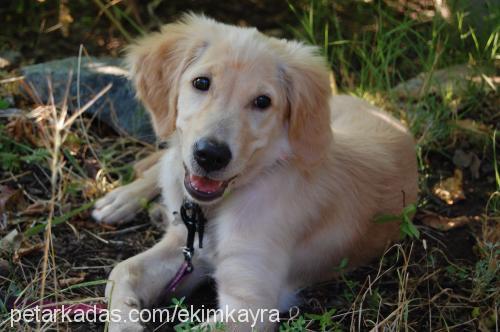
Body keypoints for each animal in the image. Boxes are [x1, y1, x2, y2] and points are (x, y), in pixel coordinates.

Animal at [93, 14, 418, 330]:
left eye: (263, 101)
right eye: (201, 82)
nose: (210, 155)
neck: (218, 208)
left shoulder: (249, 304)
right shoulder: (185, 246)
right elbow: (122, 270)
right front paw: (125, 323)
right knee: (164, 161)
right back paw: (121, 198)